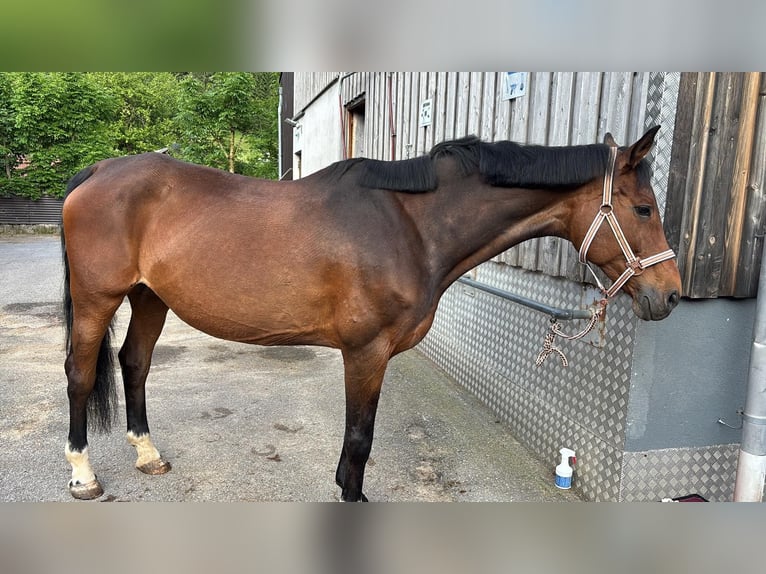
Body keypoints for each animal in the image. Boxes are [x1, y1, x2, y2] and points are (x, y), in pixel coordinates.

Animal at [60, 126, 681, 501]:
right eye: (643, 209)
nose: (671, 295)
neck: (410, 227)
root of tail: (98, 171)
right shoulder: (366, 352)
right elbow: (359, 440)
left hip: (150, 297)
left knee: (134, 364)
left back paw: (147, 455)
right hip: (97, 299)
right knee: (81, 374)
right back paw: (83, 475)